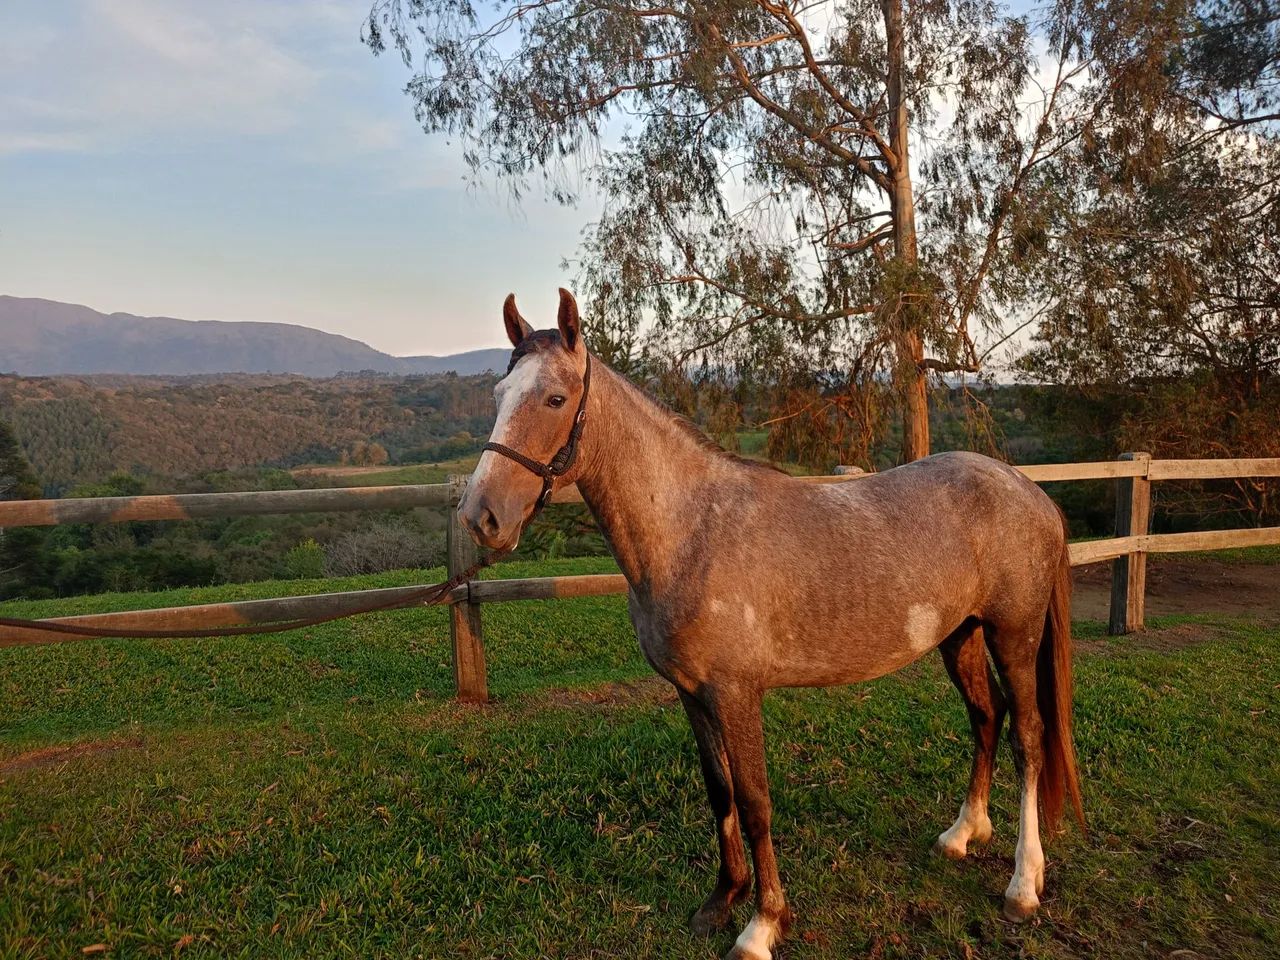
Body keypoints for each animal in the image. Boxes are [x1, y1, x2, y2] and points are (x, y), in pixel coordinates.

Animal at [458, 289, 1084, 960]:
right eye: (499, 395)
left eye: (554, 398)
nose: (481, 516)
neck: (690, 531)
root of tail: (1031, 493)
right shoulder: (692, 694)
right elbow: (720, 792)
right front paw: (721, 900)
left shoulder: (737, 694)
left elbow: (755, 802)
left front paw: (762, 924)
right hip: (959, 636)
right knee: (986, 717)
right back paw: (964, 833)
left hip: (1013, 637)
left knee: (1028, 739)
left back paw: (1023, 884)